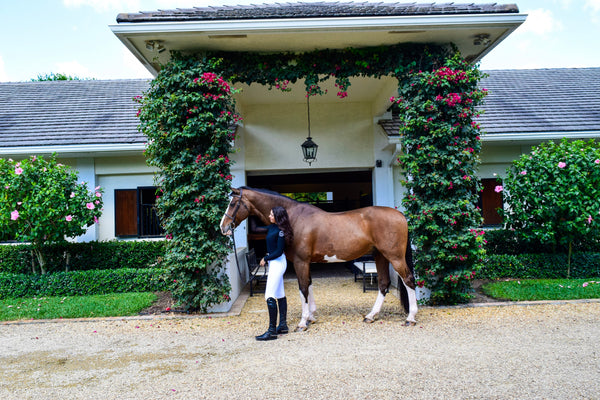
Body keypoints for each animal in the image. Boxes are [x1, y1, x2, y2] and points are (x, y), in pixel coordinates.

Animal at [220, 186, 418, 330]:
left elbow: (303, 288)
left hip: (394, 257)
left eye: (232, 203)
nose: (223, 227)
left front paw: (302, 322)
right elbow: (308, 285)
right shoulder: (305, 262)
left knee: (408, 279)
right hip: (381, 256)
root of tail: (400, 215)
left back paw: (411, 318)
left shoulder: (300, 261)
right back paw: (371, 316)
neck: (293, 218)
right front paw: (311, 317)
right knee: (384, 283)